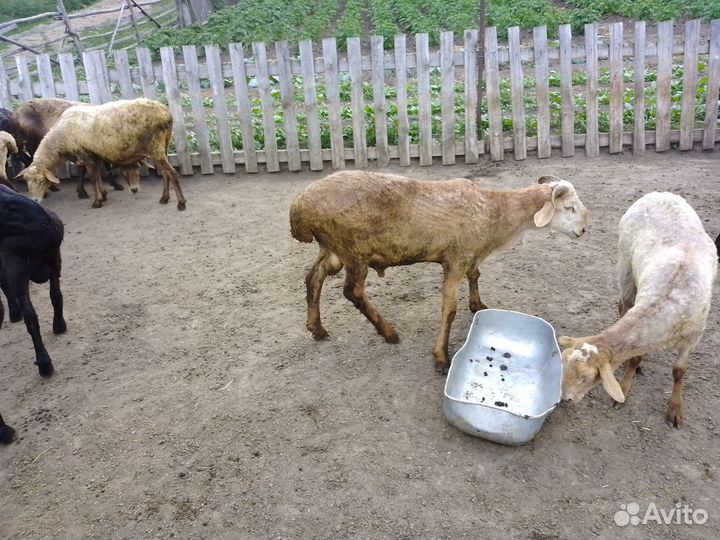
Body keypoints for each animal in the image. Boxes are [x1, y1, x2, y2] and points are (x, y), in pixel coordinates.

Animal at [0, 184, 66, 377]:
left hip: (18, 271)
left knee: (30, 316)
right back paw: (59, 325)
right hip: (55, 261)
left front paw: (14, 312)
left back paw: (44, 363)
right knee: (56, 296)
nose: (44, 220)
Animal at [18, 98, 186, 210]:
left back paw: (181, 203)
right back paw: (164, 198)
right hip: (163, 145)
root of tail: (166, 113)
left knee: (171, 172)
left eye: (41, 181)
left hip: (155, 146)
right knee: (165, 173)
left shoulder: (86, 155)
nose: (35, 200)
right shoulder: (94, 155)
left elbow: (93, 179)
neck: (61, 138)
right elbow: (97, 176)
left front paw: (97, 201)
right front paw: (103, 195)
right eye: (26, 181)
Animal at [290, 171, 589, 371]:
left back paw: (317, 327)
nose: (585, 229)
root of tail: (299, 208)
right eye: (569, 207)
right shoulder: (455, 260)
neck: (494, 213)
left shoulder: (469, 253)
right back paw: (389, 332)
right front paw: (441, 356)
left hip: (332, 249)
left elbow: (475, 275)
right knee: (352, 292)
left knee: (313, 278)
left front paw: (478, 304)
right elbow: (449, 309)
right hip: (354, 250)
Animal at [559, 192, 717, 428]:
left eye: (587, 378)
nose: (564, 400)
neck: (667, 301)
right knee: (623, 305)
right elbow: (633, 358)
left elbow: (679, 371)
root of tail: (658, 194)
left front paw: (675, 409)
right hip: (625, 262)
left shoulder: (694, 336)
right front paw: (625, 387)